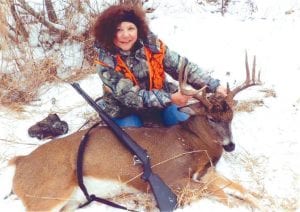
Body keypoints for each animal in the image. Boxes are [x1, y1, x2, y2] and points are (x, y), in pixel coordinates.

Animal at [7, 52, 260, 211]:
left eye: (231, 115)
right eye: (210, 118)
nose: (230, 145)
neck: (192, 142)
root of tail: (19, 162)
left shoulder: (206, 172)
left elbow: (242, 189)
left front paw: (261, 200)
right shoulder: (173, 177)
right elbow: (227, 199)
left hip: (67, 202)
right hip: (47, 194)